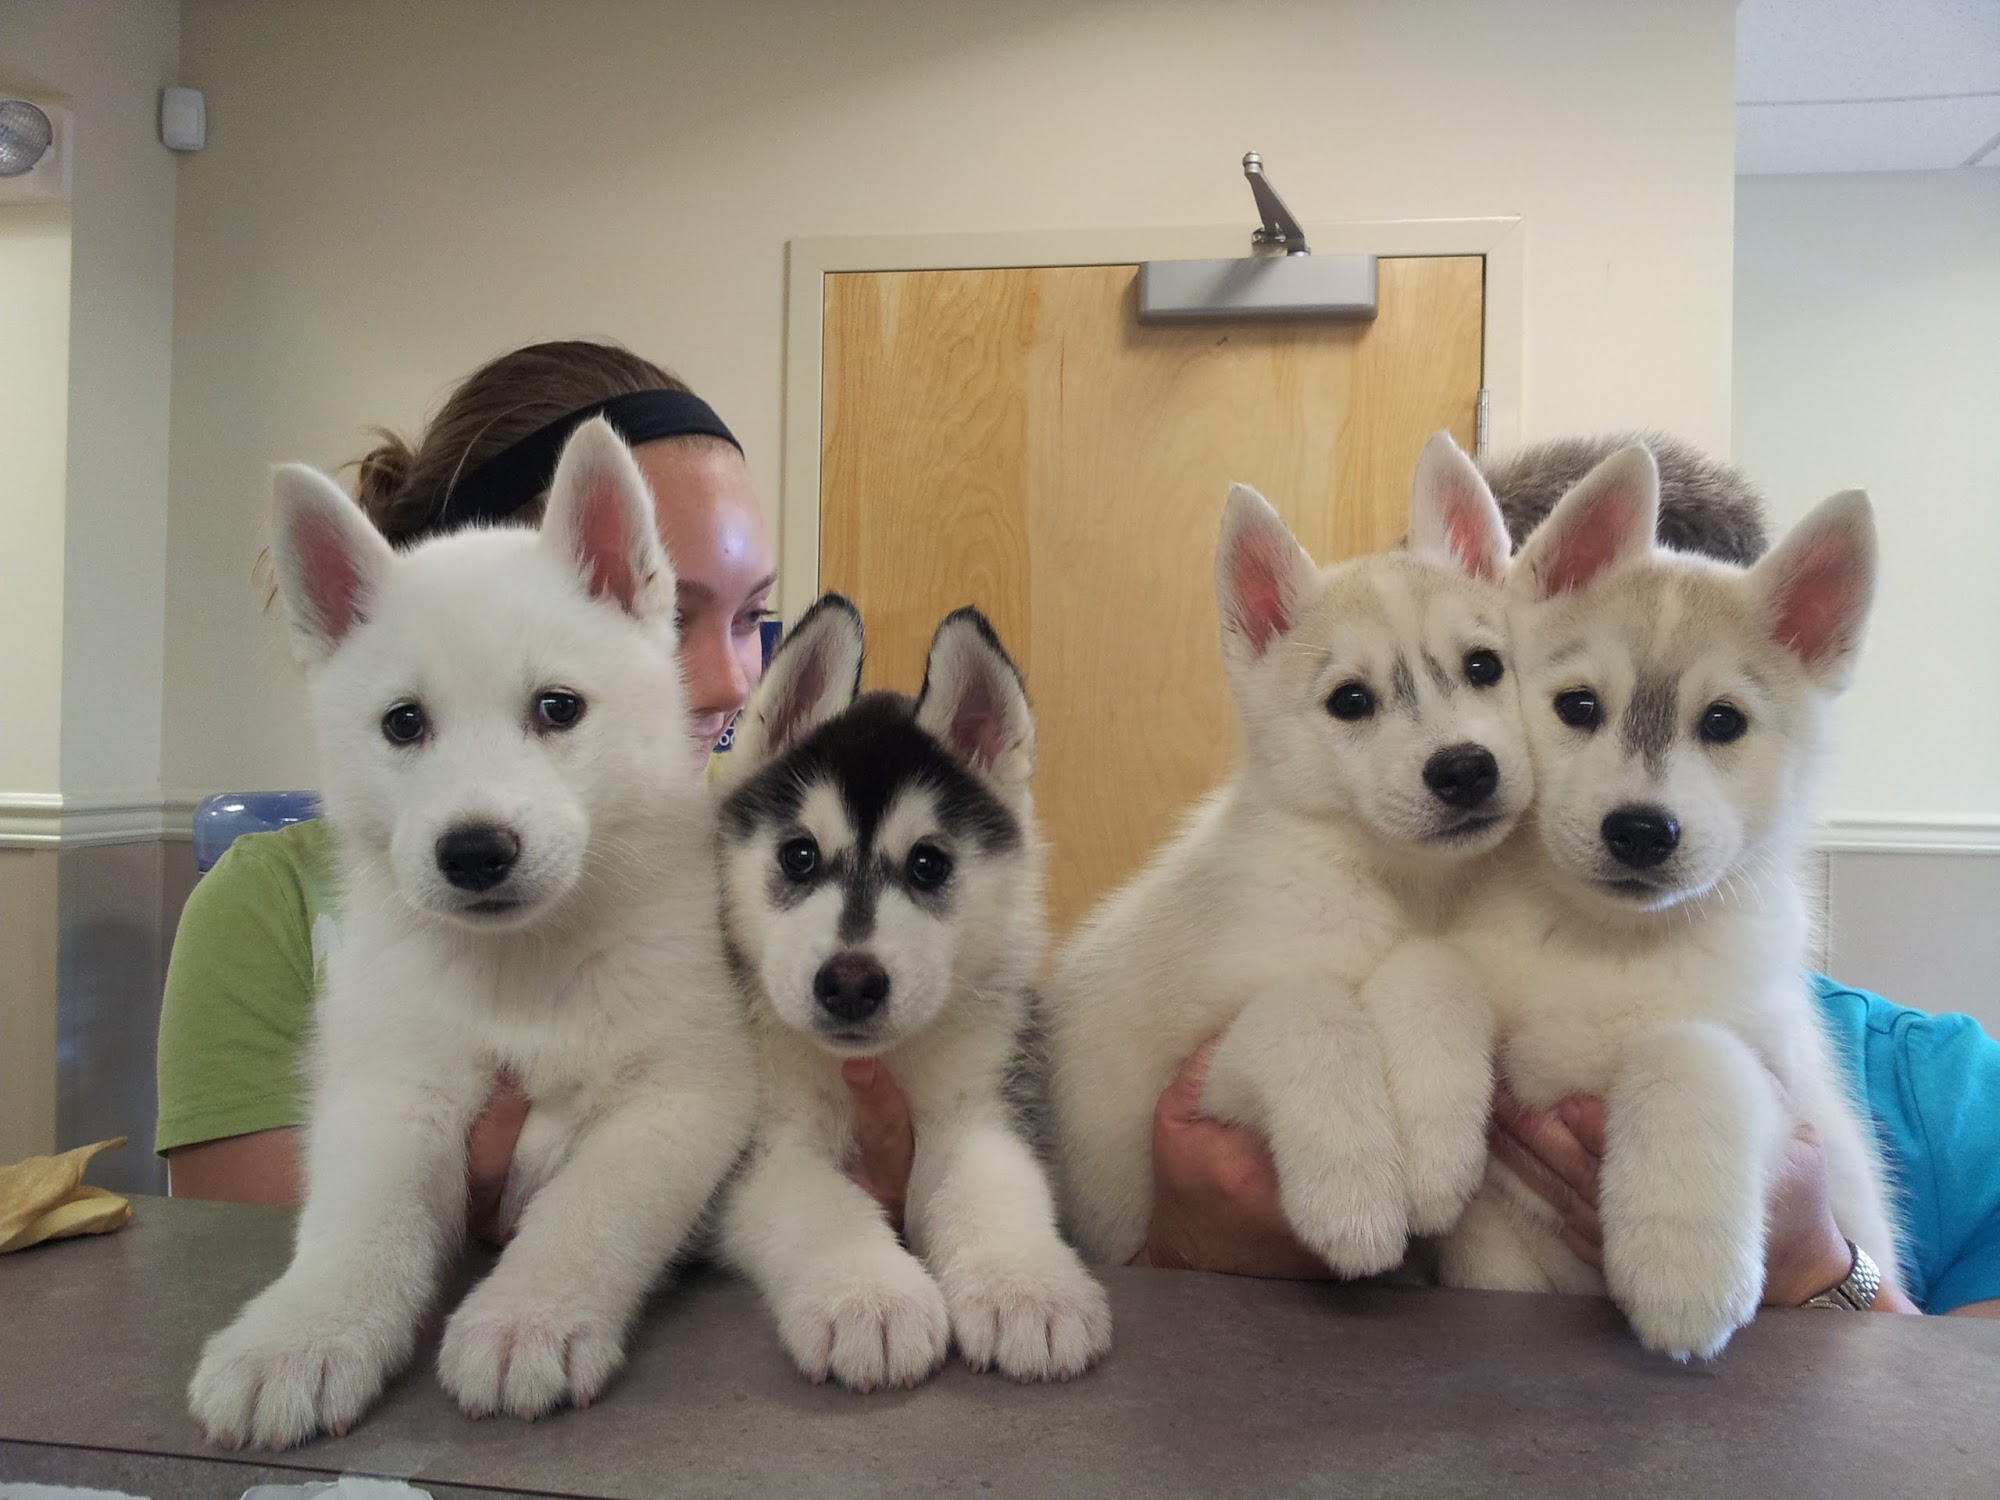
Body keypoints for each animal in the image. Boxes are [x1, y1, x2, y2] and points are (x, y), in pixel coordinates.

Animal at [188, 419, 756, 1449]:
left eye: (559, 706)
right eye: (403, 723)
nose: (476, 851)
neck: (522, 964)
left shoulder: (685, 1088)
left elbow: (592, 1210)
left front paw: (531, 1316)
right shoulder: (390, 1082)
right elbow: (359, 1221)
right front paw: (303, 1334)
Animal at [714, 596, 1111, 1390]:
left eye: (928, 864)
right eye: (798, 855)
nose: (850, 982)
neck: (876, 1063)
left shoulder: (979, 1105)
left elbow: (995, 1186)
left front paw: (1027, 1286)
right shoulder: (763, 1148)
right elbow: (821, 1204)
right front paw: (868, 1297)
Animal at [1047, 433, 1528, 1274]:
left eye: (1483, 666)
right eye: (1350, 701)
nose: (1465, 770)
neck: (1390, 882)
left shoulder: (1451, 951)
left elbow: (1434, 973)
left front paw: (1435, 1154)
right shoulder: (1192, 1058)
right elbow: (1308, 1012)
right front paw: (1354, 1198)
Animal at [1439, 443, 1897, 1360]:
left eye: (1723, 722)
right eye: (1578, 706)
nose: (1642, 831)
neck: (1610, 944)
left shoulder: (1775, 1075)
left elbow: (1682, 1050)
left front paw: (1681, 1271)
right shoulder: (1499, 1227)